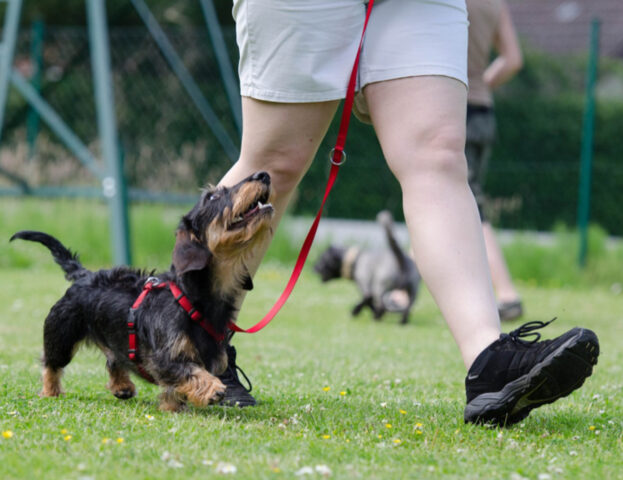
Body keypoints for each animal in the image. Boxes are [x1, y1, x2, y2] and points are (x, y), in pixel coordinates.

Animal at [9, 171, 272, 410]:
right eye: (212, 196)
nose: (263, 175)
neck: (191, 298)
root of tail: (84, 275)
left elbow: (176, 388)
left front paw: (172, 406)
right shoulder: (163, 359)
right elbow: (190, 372)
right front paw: (213, 388)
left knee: (113, 359)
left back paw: (122, 386)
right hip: (61, 335)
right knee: (51, 364)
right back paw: (50, 391)